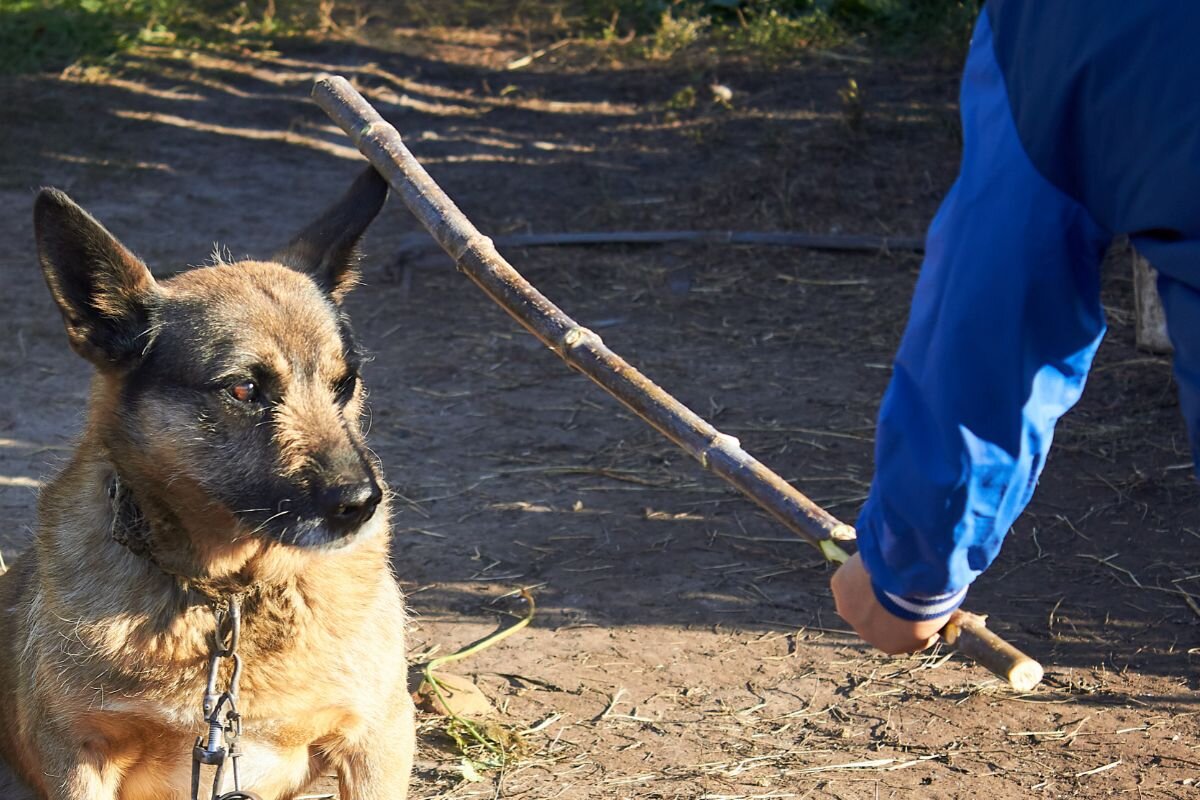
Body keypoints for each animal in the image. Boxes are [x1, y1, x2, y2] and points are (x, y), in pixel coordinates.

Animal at [0, 169, 412, 800]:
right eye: (244, 389)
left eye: (345, 383)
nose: (362, 504)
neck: (227, 596)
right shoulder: (78, 756)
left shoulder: (378, 740)